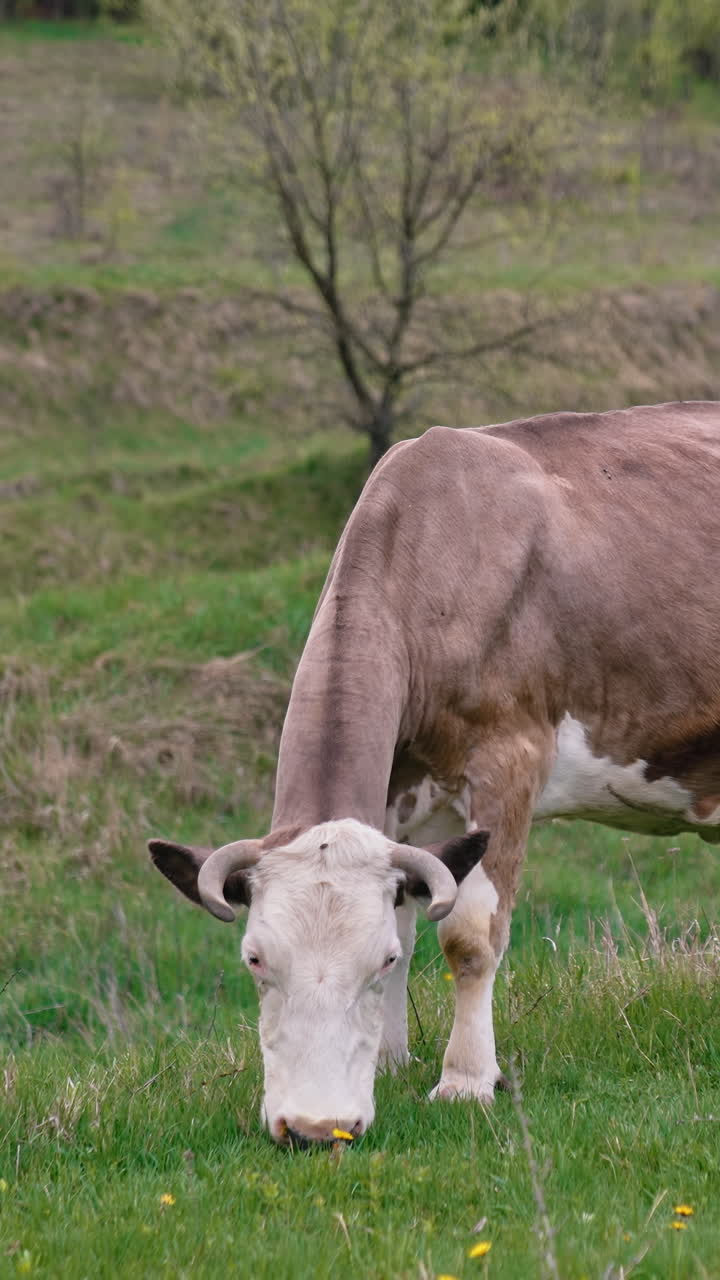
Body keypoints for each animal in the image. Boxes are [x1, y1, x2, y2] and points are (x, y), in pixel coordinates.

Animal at [150, 400, 720, 1146]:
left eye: (380, 961)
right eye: (255, 958)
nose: (314, 1128)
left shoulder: (509, 758)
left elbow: (469, 937)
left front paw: (466, 1080)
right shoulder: (404, 788)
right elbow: (411, 905)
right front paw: (390, 1062)